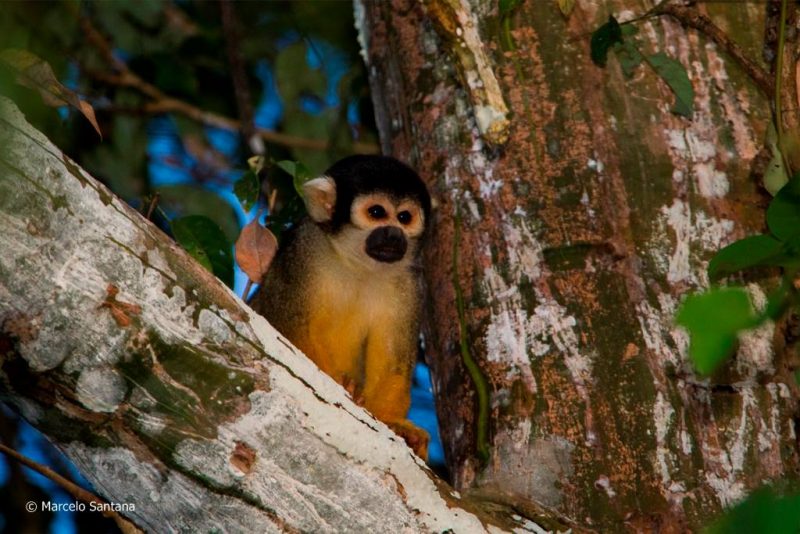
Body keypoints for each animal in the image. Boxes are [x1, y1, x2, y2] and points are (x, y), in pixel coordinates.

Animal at [253, 155, 434, 460]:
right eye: (376, 212)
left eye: (404, 218)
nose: (393, 234)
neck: (358, 266)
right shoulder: (304, 249)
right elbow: (289, 325)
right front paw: (342, 385)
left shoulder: (409, 284)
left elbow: (394, 360)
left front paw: (393, 422)